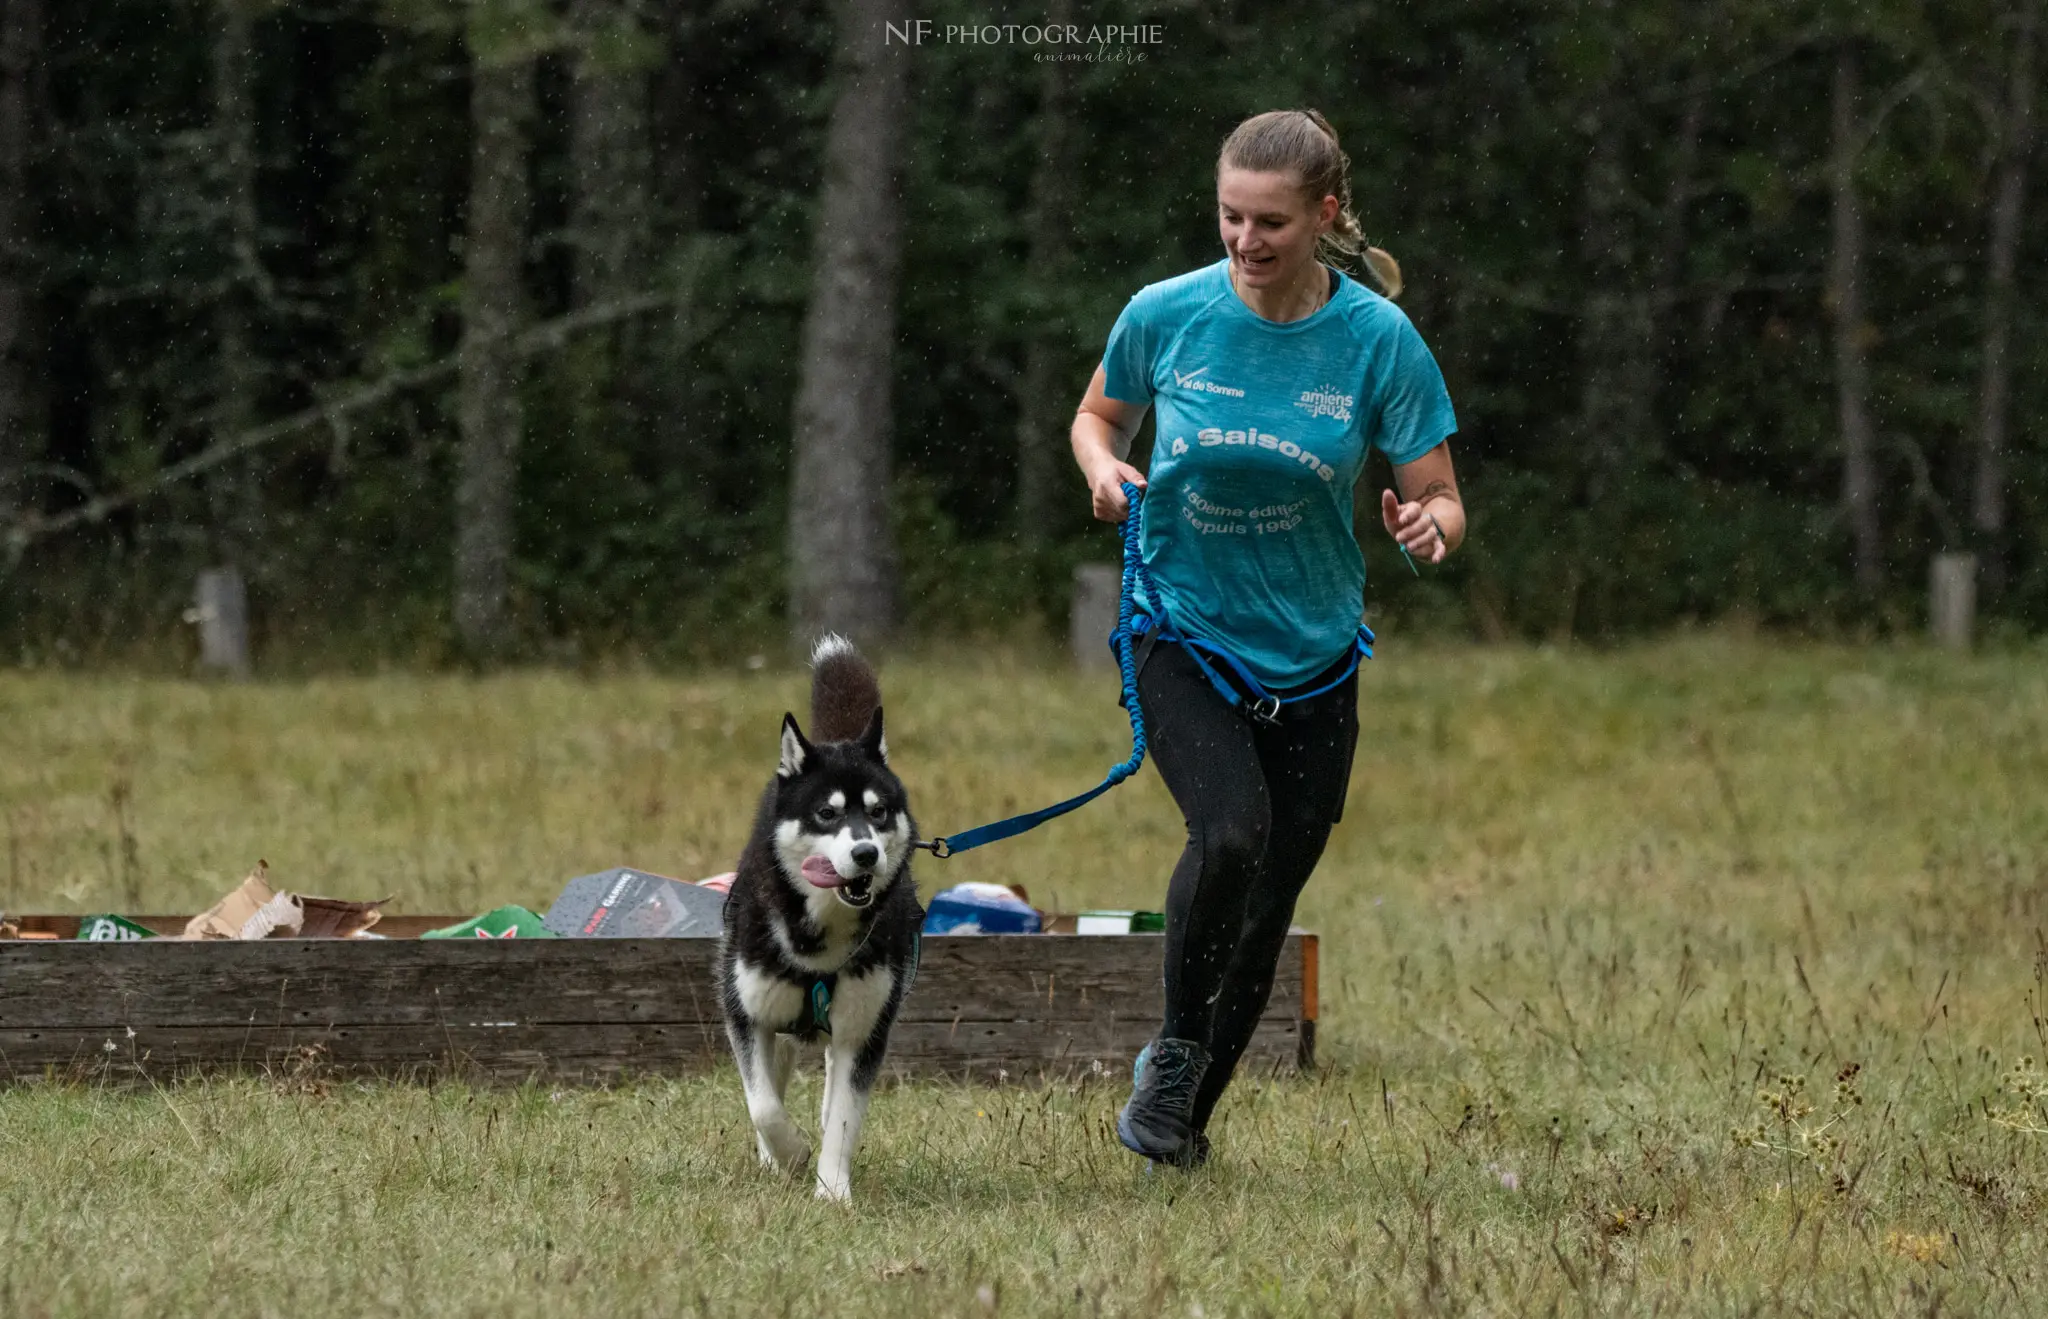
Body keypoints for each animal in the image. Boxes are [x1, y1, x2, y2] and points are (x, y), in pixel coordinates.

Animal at [712, 634, 921, 1204]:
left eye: (877, 811)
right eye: (827, 813)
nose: (867, 854)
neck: (820, 936)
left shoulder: (866, 1029)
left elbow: (846, 1116)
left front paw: (831, 1190)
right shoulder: (746, 1011)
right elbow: (763, 1104)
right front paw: (789, 1154)